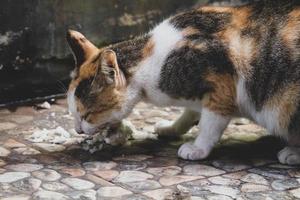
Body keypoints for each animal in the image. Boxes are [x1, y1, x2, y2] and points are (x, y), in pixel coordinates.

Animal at [67, 0, 300, 165]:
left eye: (87, 114)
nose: (77, 130)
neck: (151, 58)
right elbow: (190, 114)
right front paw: (170, 128)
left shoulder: (221, 82)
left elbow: (210, 123)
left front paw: (197, 149)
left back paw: (291, 153)